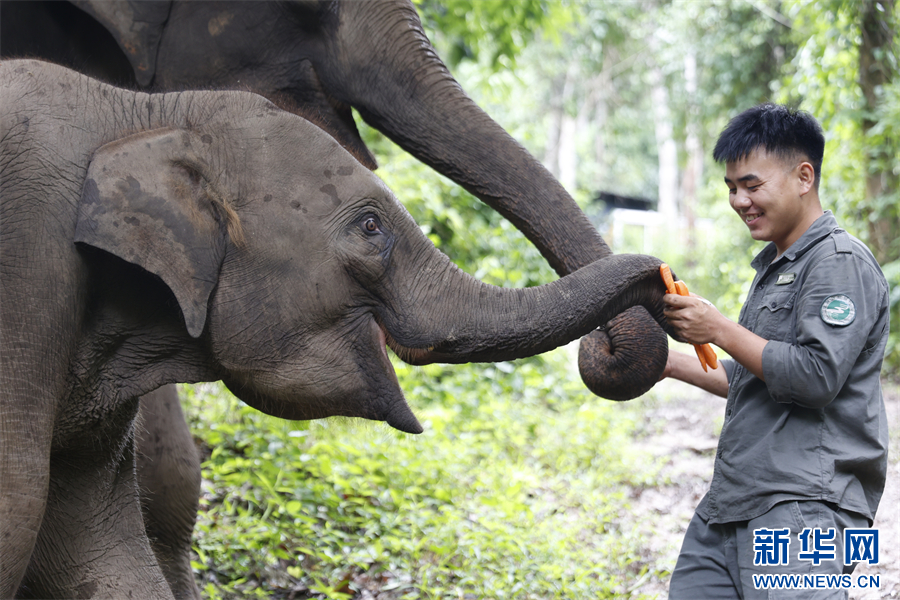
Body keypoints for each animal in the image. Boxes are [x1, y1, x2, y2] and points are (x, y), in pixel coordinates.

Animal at [0, 59, 671, 599]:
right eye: (371, 227)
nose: (665, 278)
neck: (144, 112)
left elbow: (95, 548)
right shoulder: (29, 262)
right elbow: (20, 502)